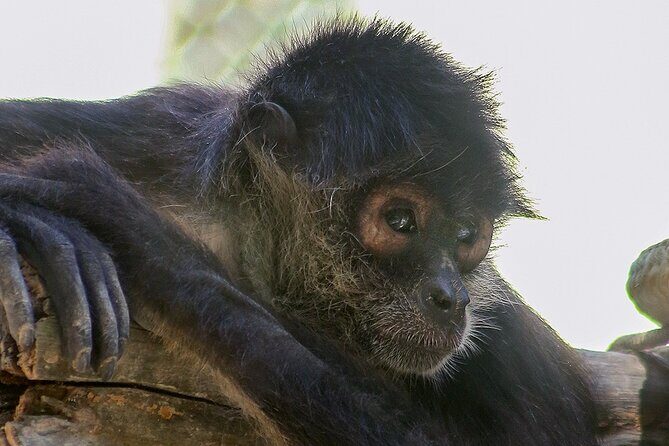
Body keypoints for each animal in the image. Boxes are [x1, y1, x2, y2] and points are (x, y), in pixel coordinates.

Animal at [0, 18, 599, 445]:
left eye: (468, 235)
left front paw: (107, 211)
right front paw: (22, 224)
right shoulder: (165, 129)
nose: (451, 296)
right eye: (400, 221)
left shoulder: (501, 327)